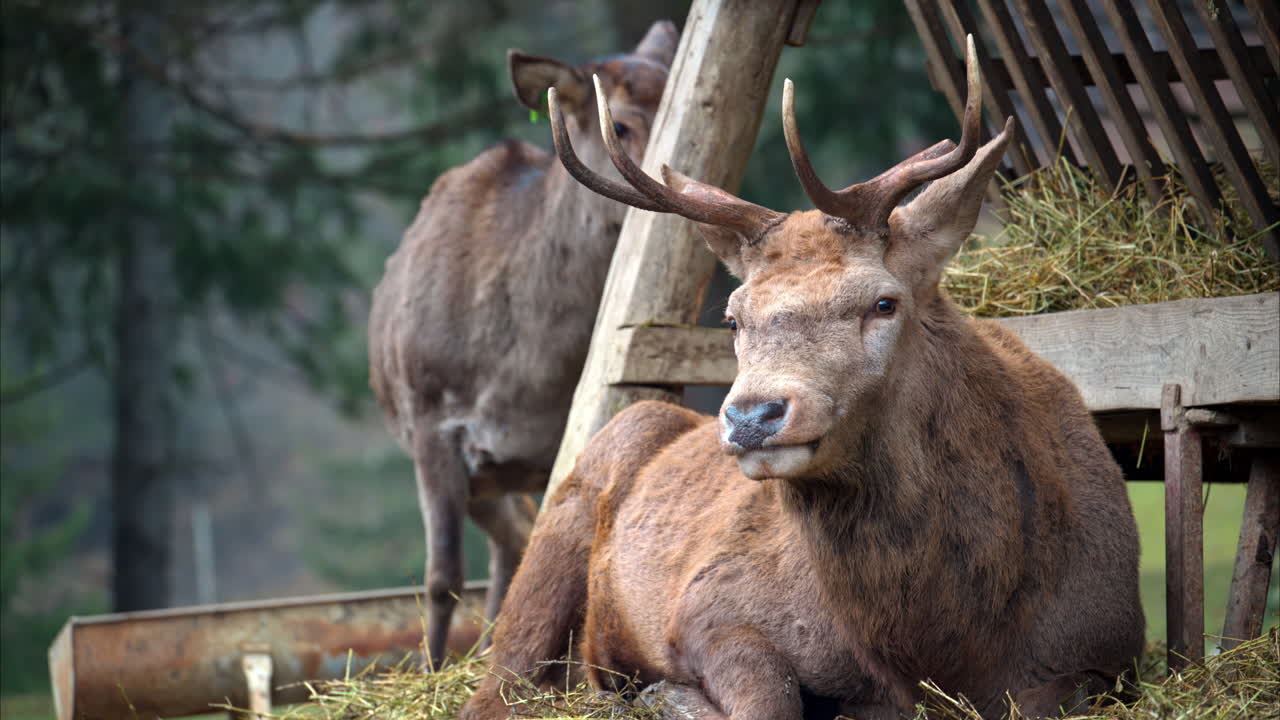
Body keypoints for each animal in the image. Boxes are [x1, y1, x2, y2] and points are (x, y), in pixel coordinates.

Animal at [367, 20, 679, 667]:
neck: (522, 376)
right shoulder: (432, 422)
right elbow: (441, 576)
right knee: (503, 545)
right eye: (620, 125)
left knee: (513, 543)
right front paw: (435, 671)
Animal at [460, 37, 1144, 720]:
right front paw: (670, 693)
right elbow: (768, 698)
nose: (751, 416)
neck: (942, 647)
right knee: (501, 687)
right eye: (733, 317)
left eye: (884, 303)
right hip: (565, 516)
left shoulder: (1108, 654)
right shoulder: (710, 605)